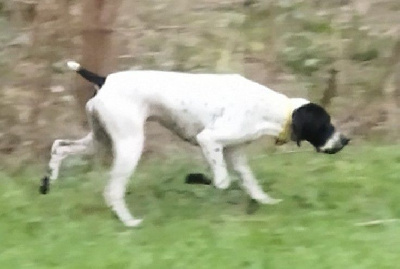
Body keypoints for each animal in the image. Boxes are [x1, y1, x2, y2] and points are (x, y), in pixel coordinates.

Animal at [39, 61, 348, 226]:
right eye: (326, 123)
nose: (345, 139)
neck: (271, 109)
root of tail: (104, 80)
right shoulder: (209, 140)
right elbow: (222, 181)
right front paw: (195, 178)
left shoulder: (236, 154)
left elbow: (251, 184)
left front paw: (267, 202)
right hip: (129, 145)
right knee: (112, 191)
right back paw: (129, 222)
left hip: (100, 140)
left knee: (59, 147)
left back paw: (47, 182)